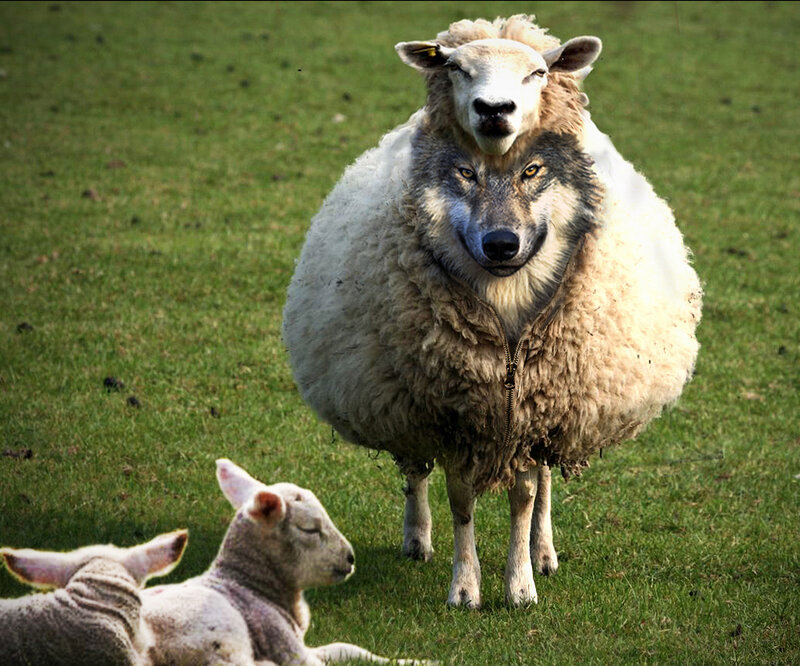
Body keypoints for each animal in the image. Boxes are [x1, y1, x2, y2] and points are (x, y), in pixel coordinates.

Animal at [141, 459, 433, 665]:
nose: (350, 558)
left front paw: (418, 660)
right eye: (309, 529)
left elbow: (345, 648)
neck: (249, 584)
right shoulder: (286, 647)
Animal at [281, 16, 702, 608]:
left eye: (538, 72)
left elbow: (524, 495)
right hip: (398, 398)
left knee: (543, 481)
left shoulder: (533, 406)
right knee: (414, 467)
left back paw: (543, 550)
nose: (495, 109)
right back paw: (417, 537)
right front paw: (465, 586)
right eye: (455, 66)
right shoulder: (450, 412)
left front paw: (520, 582)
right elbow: (460, 500)